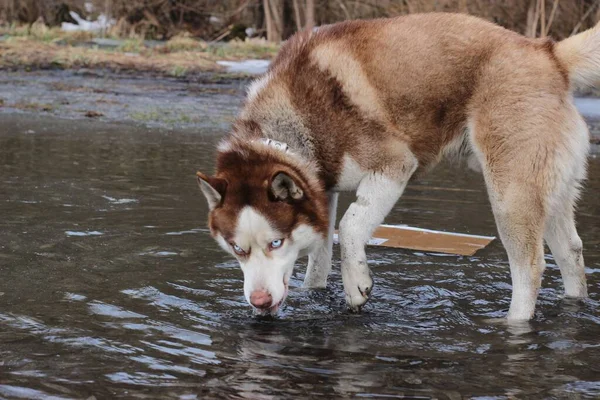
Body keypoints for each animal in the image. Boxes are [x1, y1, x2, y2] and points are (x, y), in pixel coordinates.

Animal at [195, 12, 596, 320]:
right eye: (236, 248)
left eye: (275, 242)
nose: (259, 302)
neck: (293, 124)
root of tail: (548, 52)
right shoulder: (322, 192)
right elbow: (319, 261)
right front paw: (316, 295)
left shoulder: (395, 166)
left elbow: (350, 227)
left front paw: (356, 285)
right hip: (548, 194)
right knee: (571, 252)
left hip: (509, 195)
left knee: (530, 268)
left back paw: (513, 324)